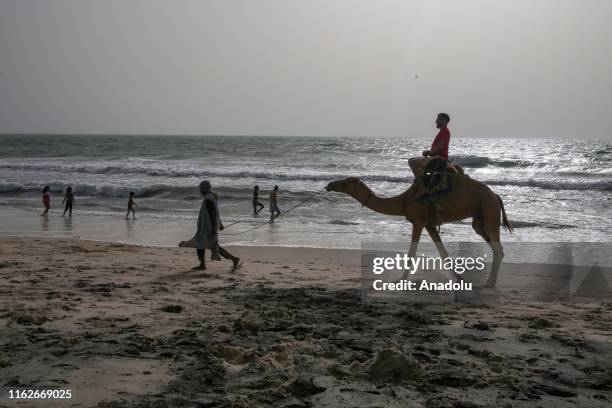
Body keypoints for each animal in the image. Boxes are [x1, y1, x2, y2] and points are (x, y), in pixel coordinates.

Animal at [326, 172, 512, 286]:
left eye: (345, 182)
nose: (329, 185)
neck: (403, 201)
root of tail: (496, 196)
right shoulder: (429, 224)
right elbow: (442, 252)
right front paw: (459, 279)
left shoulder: (418, 221)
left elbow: (412, 252)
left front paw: (399, 280)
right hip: (480, 219)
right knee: (493, 243)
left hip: (489, 211)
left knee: (497, 247)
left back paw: (490, 283)